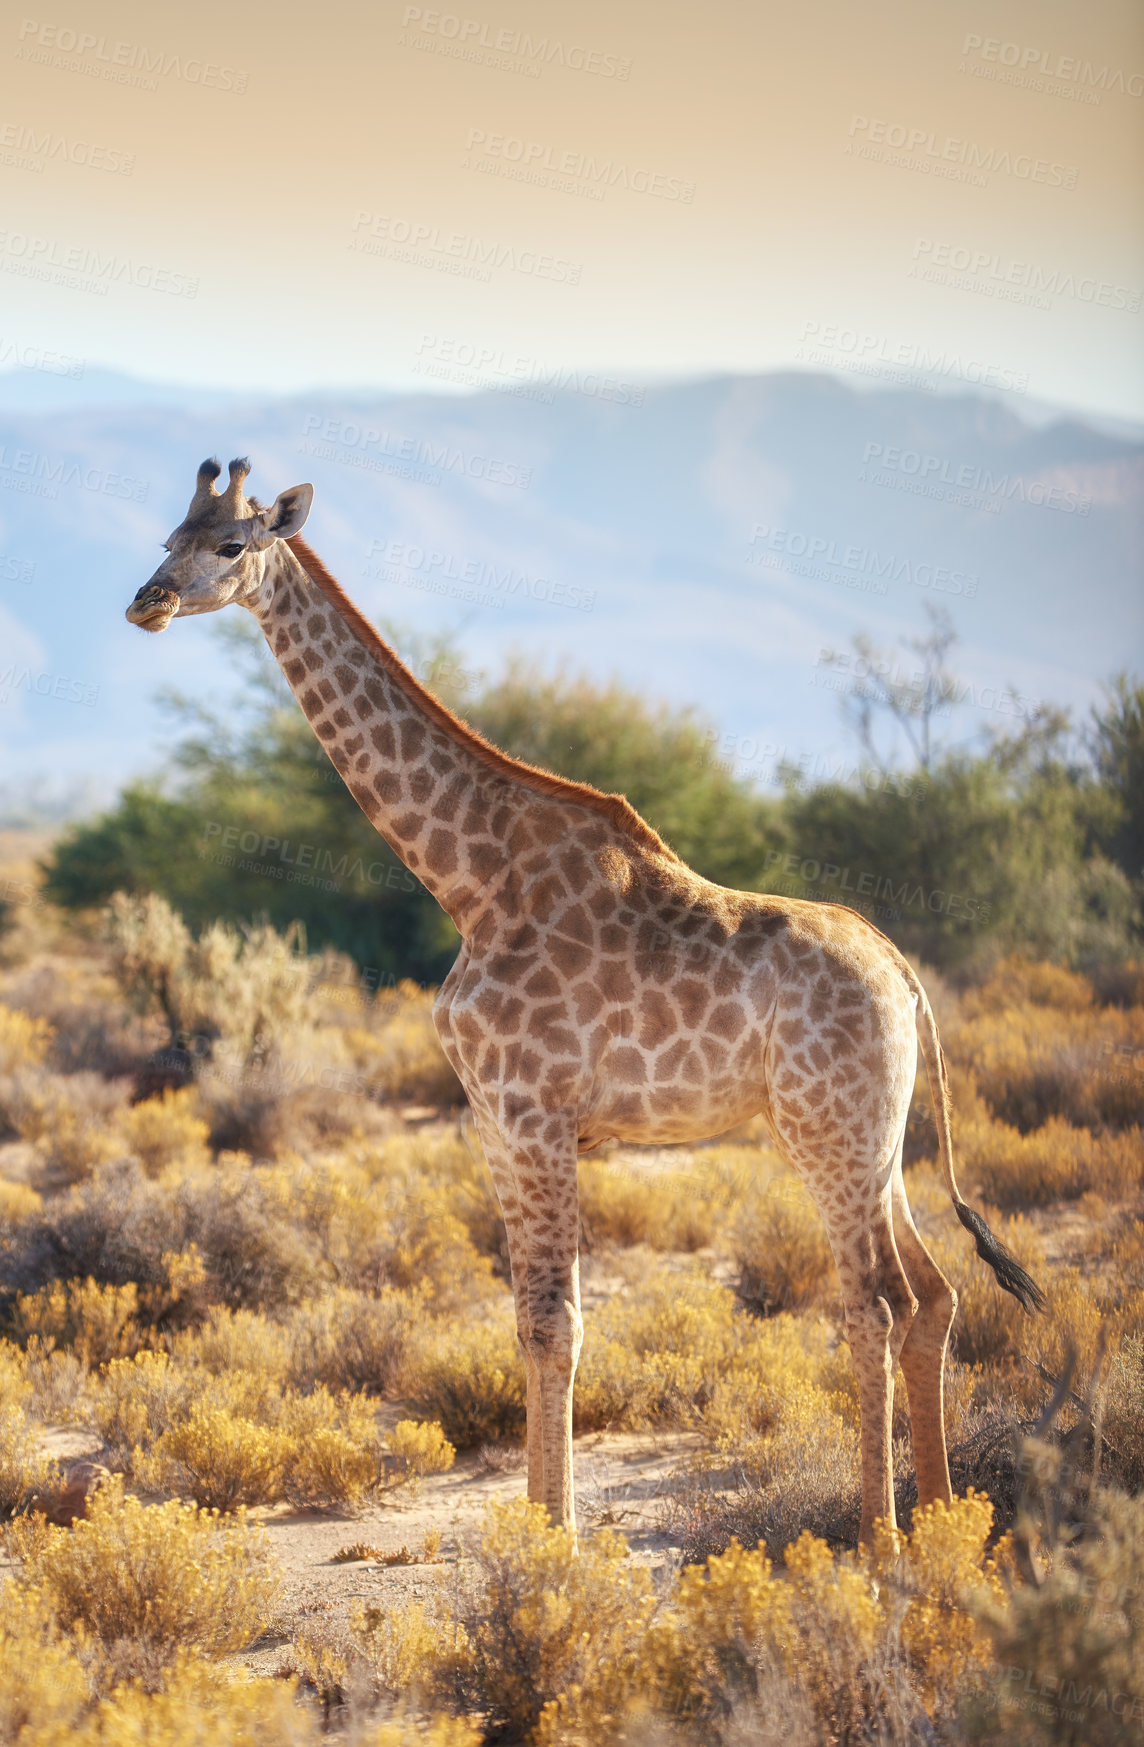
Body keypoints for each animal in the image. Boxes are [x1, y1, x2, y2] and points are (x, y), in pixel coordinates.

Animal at [127, 461, 1047, 1544]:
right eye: (168, 535)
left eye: (231, 545)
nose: (146, 602)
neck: (467, 879)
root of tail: (904, 973)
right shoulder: (494, 1118)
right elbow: (530, 1321)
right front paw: (537, 1532)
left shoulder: (535, 1111)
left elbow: (555, 1322)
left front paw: (554, 1545)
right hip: (880, 1132)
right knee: (936, 1291)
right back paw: (945, 1522)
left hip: (828, 1126)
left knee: (879, 1303)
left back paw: (880, 1539)